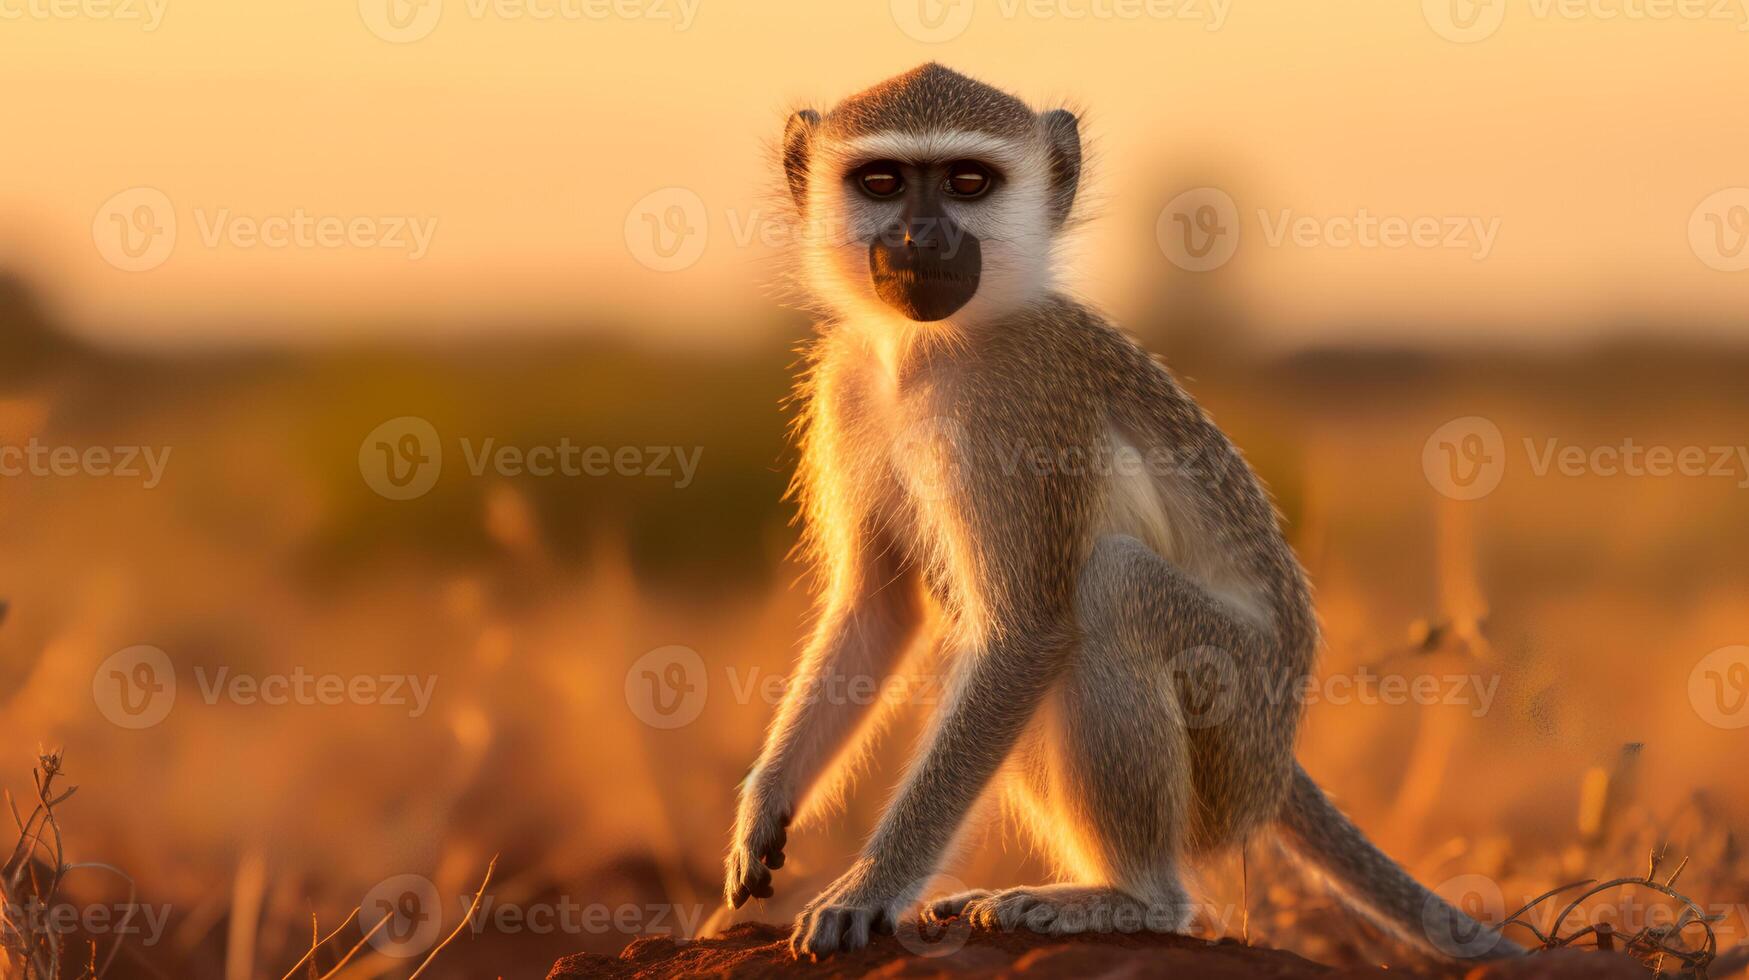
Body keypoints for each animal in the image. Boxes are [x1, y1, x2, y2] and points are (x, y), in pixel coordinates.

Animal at [724, 63, 1518, 966]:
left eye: (968, 182)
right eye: (883, 182)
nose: (921, 240)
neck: (923, 348)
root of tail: (1277, 763)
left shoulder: (1023, 406)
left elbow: (1027, 634)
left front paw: (870, 886)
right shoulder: (844, 383)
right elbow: (879, 605)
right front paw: (765, 805)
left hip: (1232, 739)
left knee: (1108, 592)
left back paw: (1132, 898)